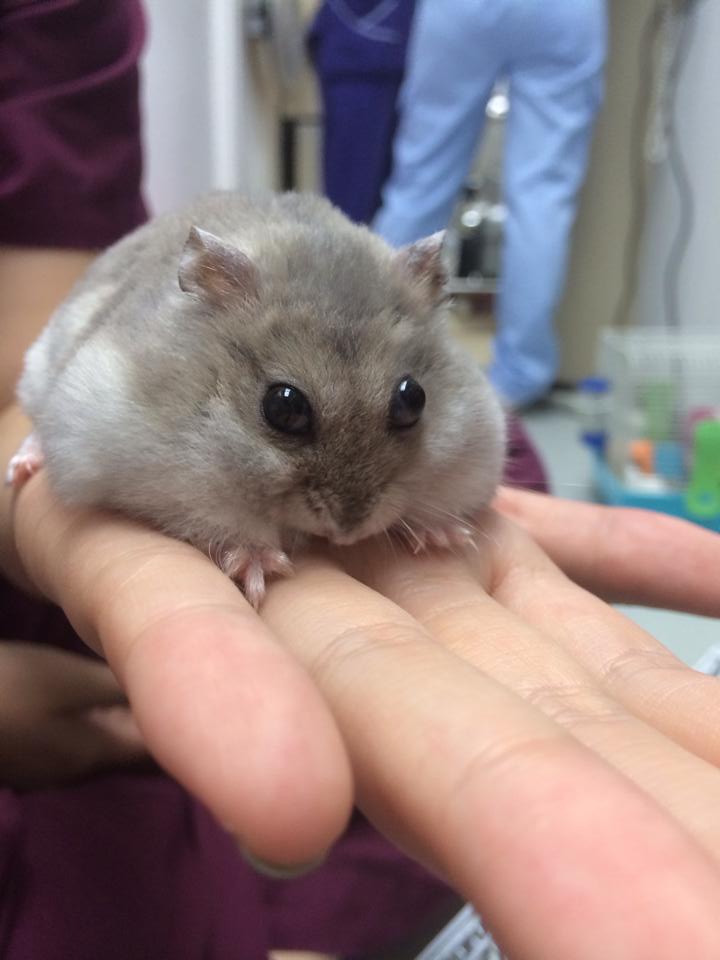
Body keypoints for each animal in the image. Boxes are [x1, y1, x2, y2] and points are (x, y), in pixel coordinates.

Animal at [8, 191, 505, 606]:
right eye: (284, 406)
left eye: (412, 399)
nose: (347, 531)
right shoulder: (160, 475)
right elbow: (221, 520)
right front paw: (262, 567)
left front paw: (449, 536)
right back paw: (22, 466)